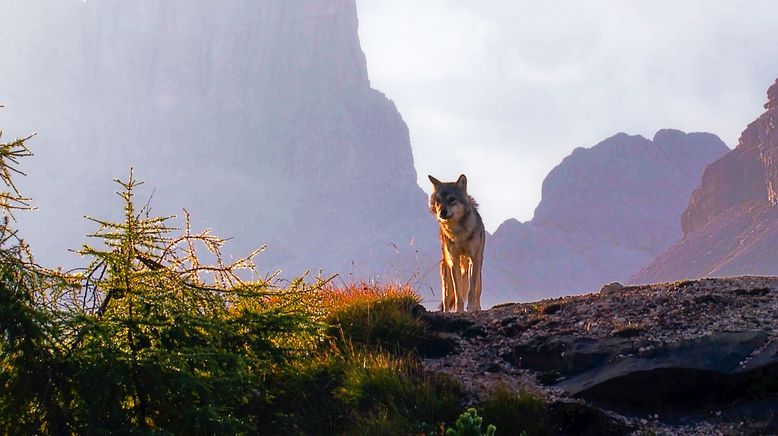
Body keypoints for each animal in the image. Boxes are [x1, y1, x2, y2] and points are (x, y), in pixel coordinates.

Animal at [428, 172, 482, 312]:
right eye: (438, 201)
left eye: (452, 199)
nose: (442, 212)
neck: (458, 232)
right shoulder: (454, 260)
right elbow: (458, 294)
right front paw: (459, 310)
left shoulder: (473, 258)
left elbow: (471, 291)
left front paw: (471, 309)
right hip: (446, 275)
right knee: (446, 301)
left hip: (477, 270)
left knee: (477, 292)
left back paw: (477, 308)